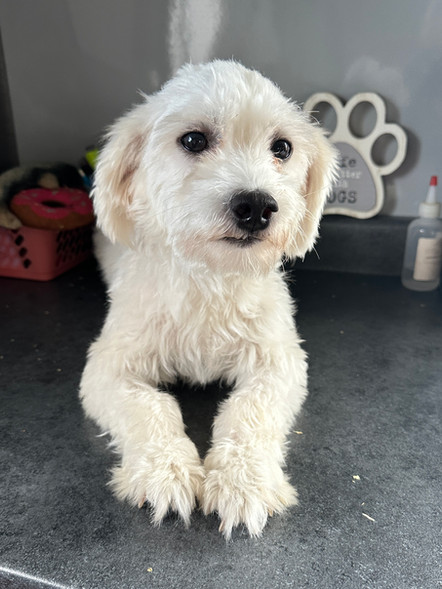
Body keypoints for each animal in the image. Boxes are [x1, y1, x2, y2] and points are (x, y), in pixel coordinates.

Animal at [79, 60, 336, 536]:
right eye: (193, 140)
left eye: (283, 147)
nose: (256, 206)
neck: (209, 278)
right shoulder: (108, 367)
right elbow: (150, 407)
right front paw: (165, 473)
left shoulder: (280, 362)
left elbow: (249, 411)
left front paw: (244, 482)